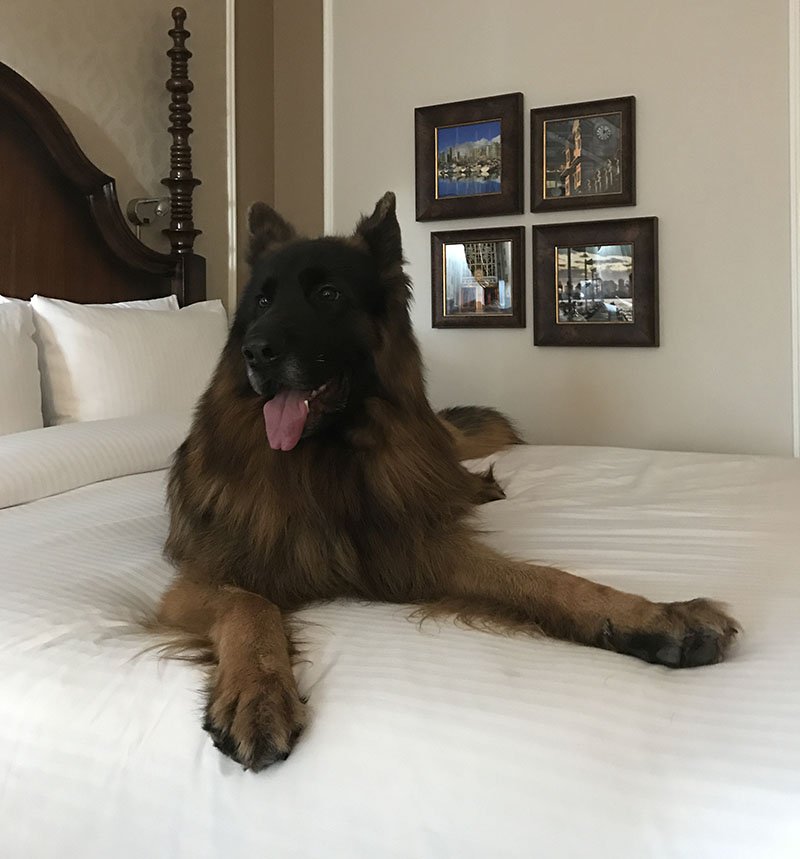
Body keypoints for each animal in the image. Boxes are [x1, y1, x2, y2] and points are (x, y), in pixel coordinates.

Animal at [159, 193, 740, 772]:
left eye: (327, 295)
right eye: (261, 302)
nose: (256, 352)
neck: (326, 465)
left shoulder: (417, 551)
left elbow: (550, 580)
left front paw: (656, 618)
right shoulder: (201, 580)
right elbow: (250, 606)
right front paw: (257, 691)